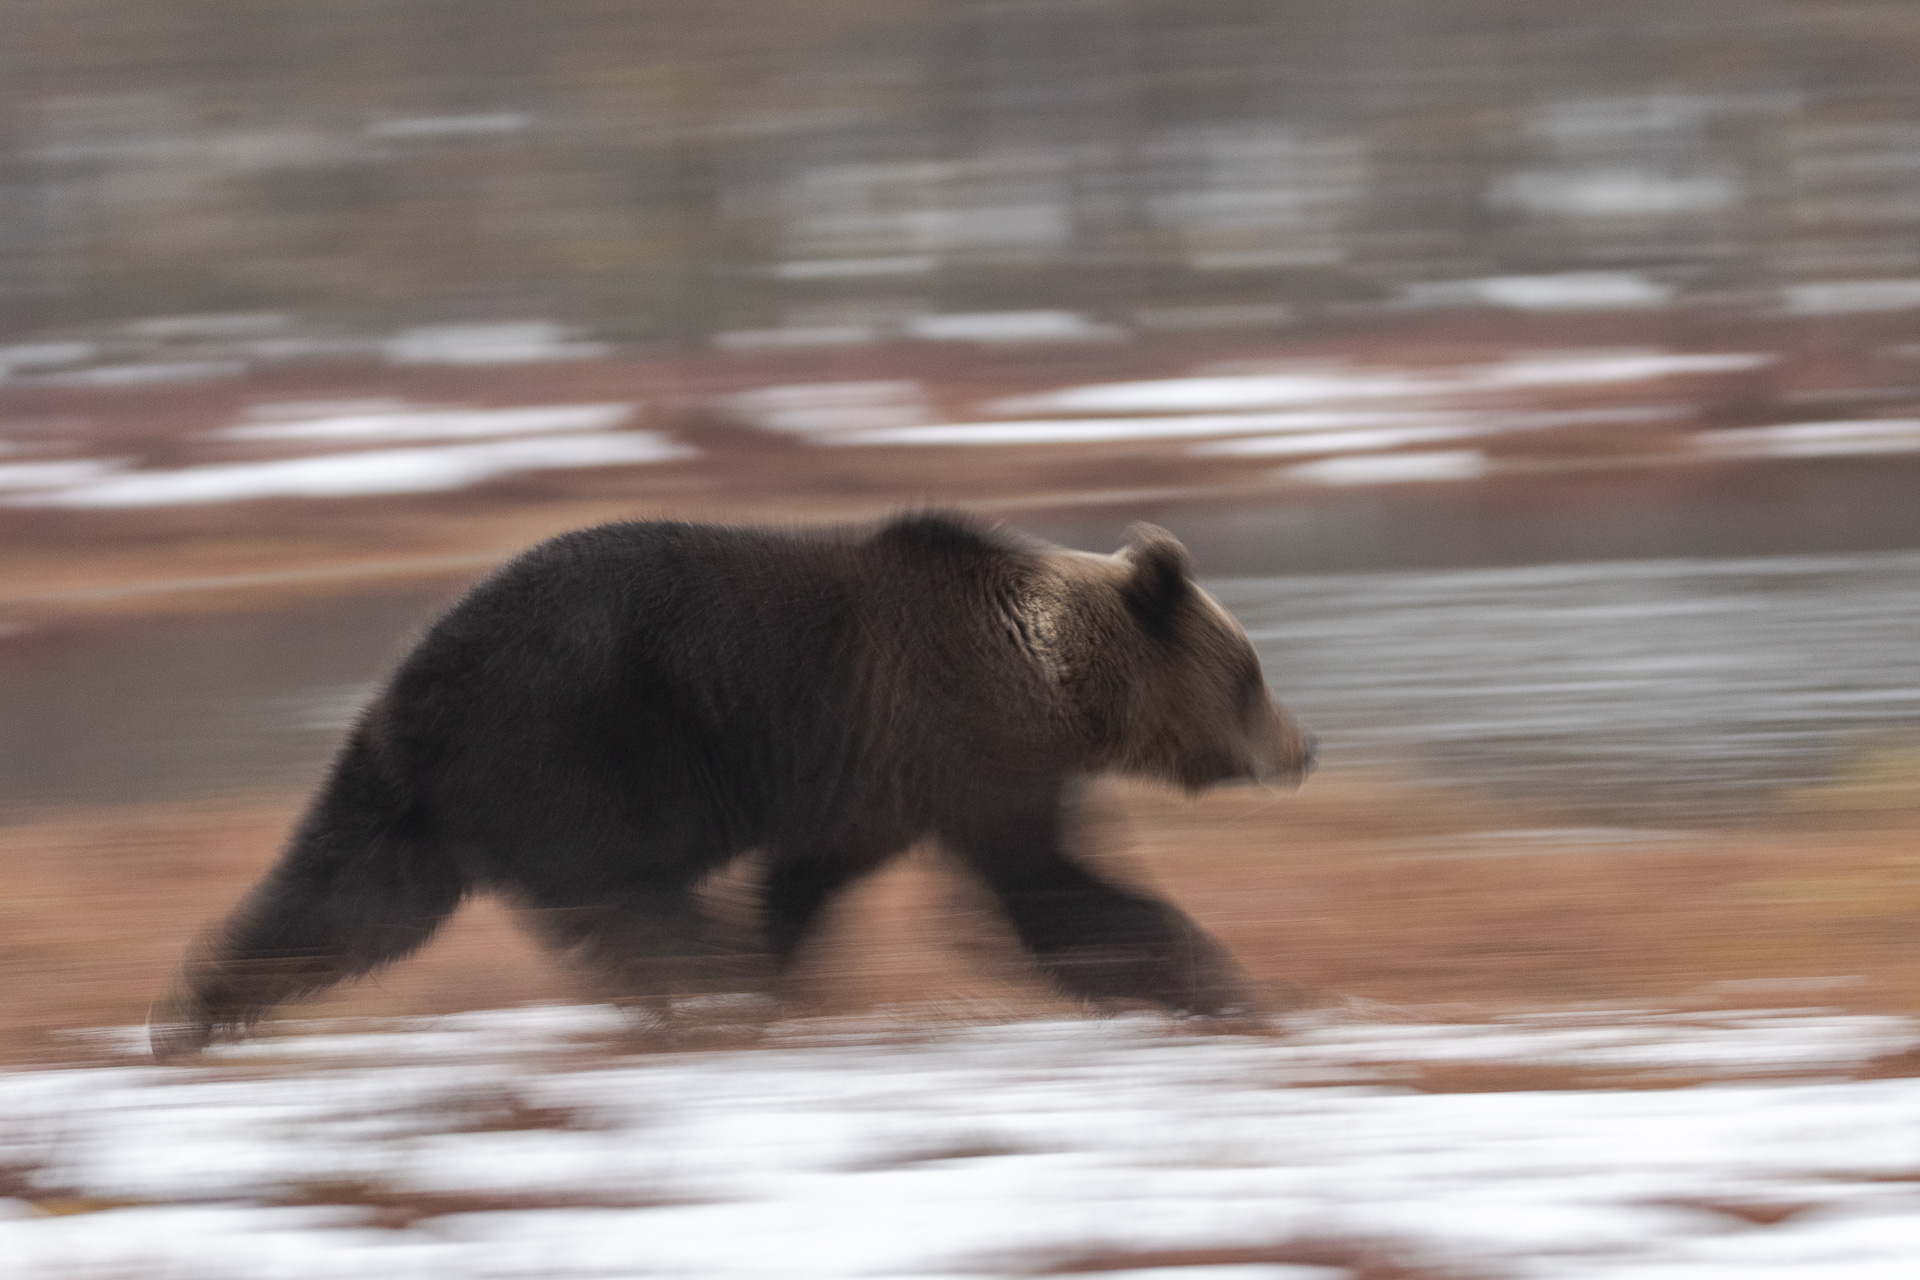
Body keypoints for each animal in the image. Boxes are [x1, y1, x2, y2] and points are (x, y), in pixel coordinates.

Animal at [149, 510, 1313, 1059]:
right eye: (1250, 671)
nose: (1302, 746)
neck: (1055, 678)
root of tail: (406, 688)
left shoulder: (873, 778)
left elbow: (805, 882)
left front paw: (783, 966)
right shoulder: (967, 743)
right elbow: (1050, 895)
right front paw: (1220, 981)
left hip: (428, 798)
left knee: (348, 900)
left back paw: (197, 1010)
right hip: (569, 749)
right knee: (627, 899)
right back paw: (701, 988)